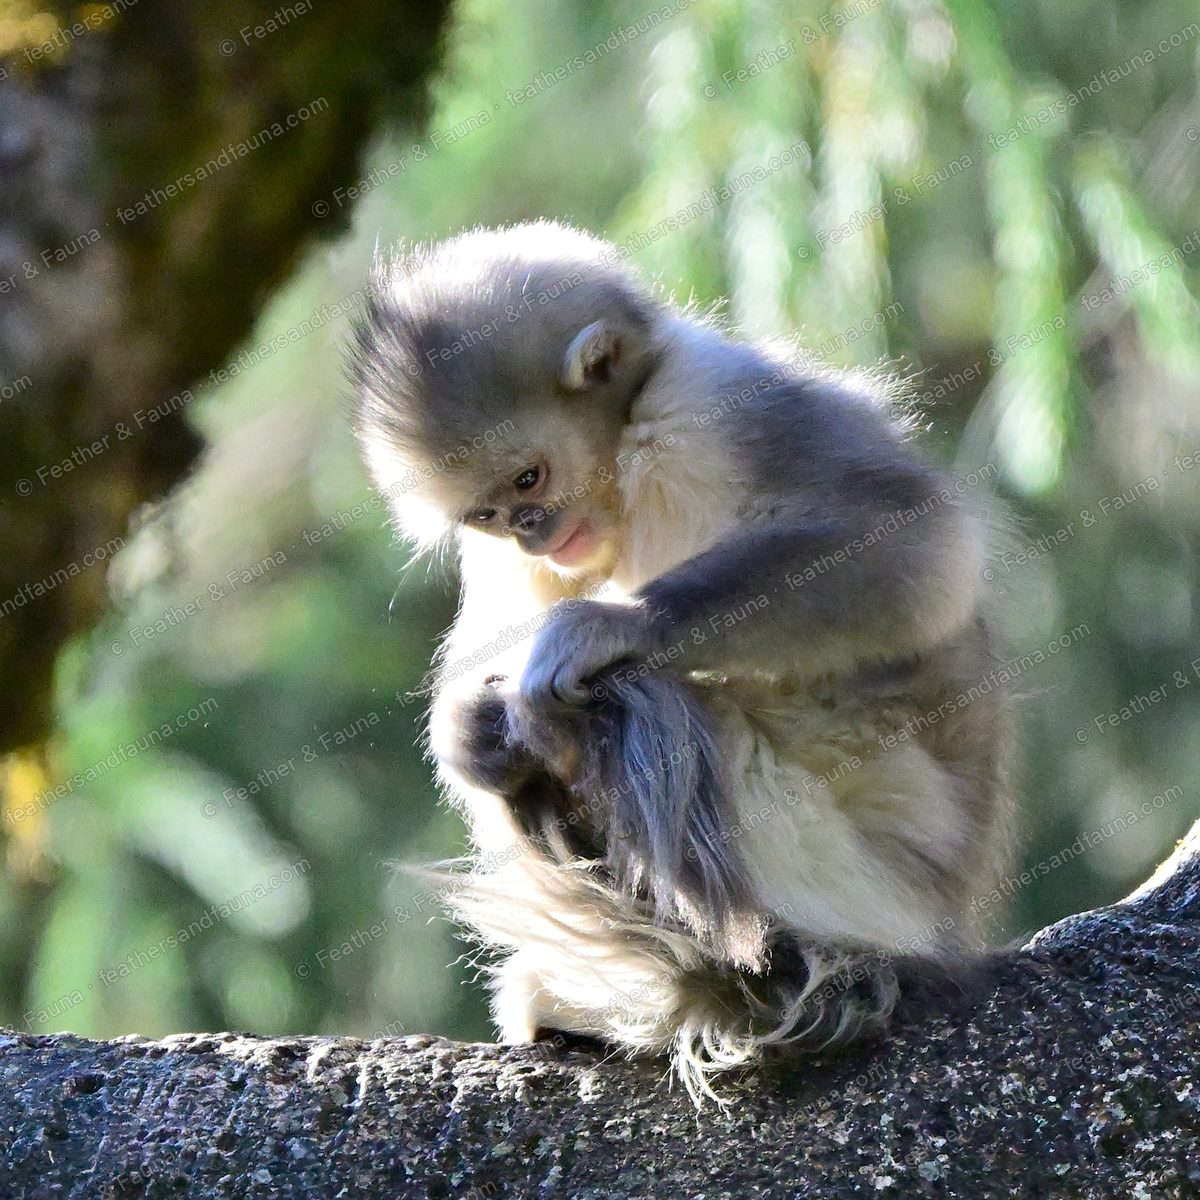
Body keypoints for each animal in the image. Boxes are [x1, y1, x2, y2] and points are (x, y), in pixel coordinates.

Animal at [348, 220, 1014, 1103]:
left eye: (530, 477)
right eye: (486, 513)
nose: (532, 531)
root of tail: (946, 918)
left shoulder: (706, 402)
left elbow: (915, 543)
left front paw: (617, 625)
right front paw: (466, 733)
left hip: (839, 863)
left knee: (631, 698)